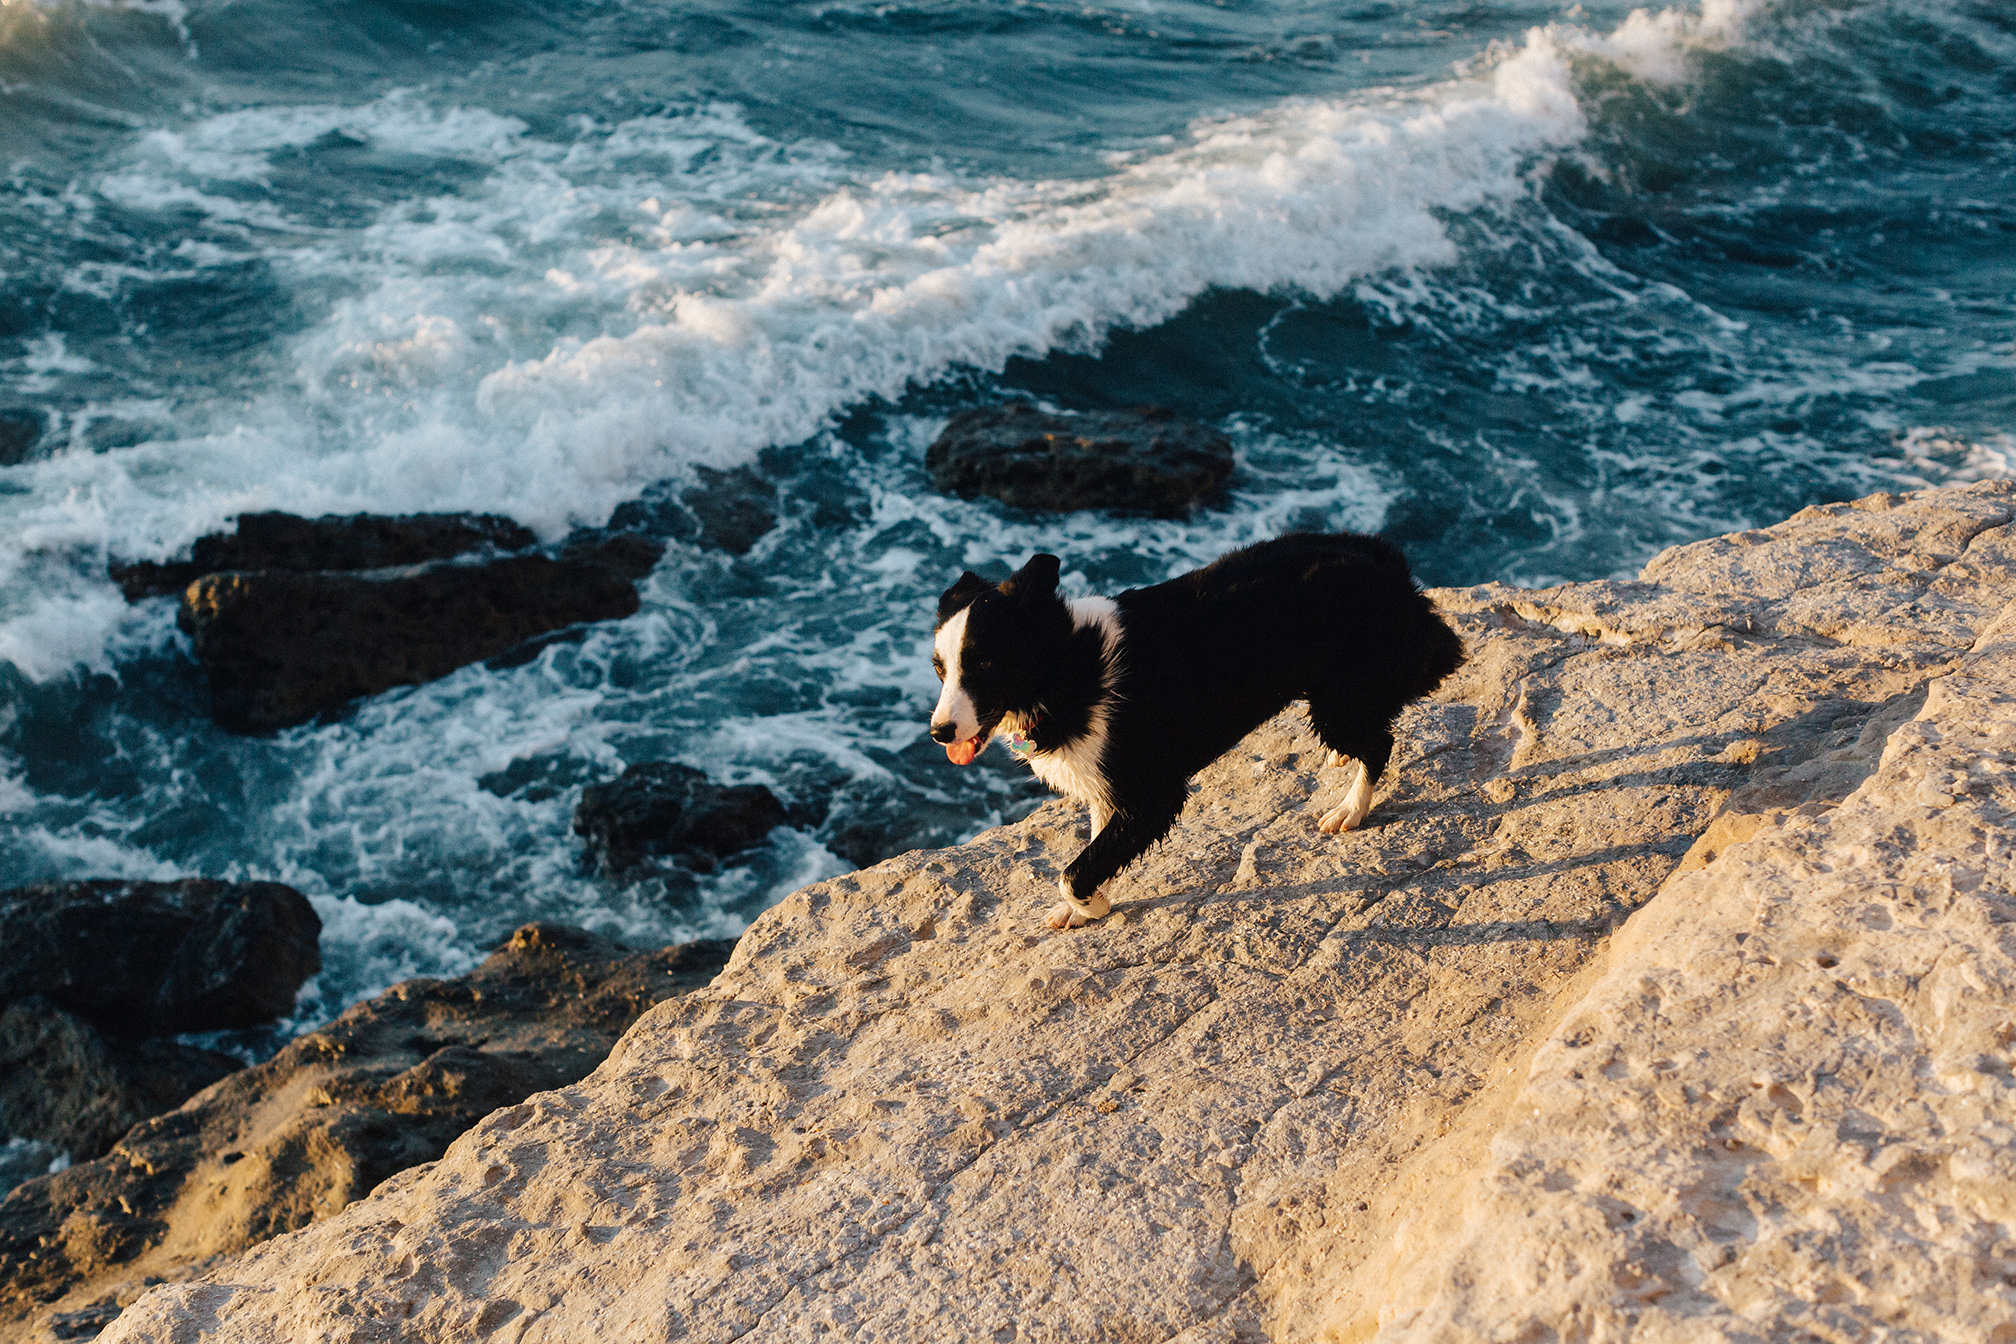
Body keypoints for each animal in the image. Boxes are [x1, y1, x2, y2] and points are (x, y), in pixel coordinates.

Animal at [927, 531, 1467, 930]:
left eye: (984, 663)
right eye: (939, 669)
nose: (939, 733)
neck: (1065, 667)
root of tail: (1383, 554)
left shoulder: (1152, 791)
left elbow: (1073, 870)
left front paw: (1090, 905)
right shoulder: (1108, 784)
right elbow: (1098, 845)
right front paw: (1084, 908)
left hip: (1339, 699)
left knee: (1381, 742)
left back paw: (1350, 809)